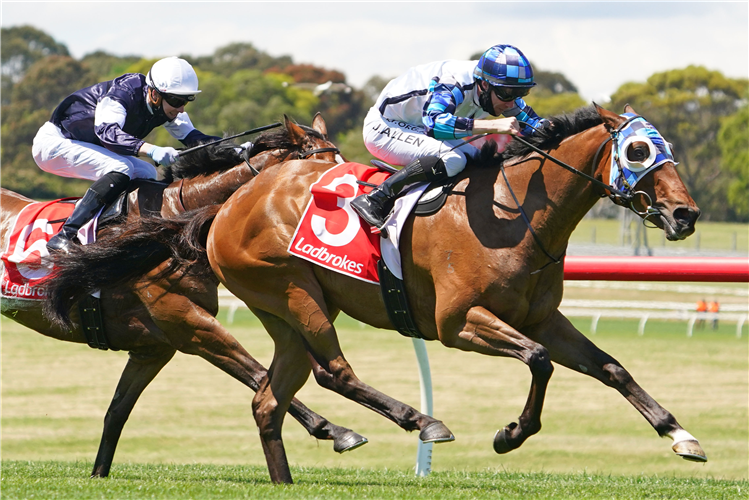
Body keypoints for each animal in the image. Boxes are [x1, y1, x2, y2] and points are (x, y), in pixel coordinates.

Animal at [2, 115, 366, 478]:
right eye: (318, 171)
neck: (174, 223)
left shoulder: (154, 348)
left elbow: (117, 412)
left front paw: (98, 473)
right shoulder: (190, 325)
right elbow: (258, 374)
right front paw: (336, 430)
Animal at [48, 102, 708, 484]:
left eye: (670, 148)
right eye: (639, 149)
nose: (685, 215)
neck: (517, 213)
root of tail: (226, 204)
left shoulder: (543, 317)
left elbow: (611, 367)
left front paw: (681, 436)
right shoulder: (457, 322)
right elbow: (540, 362)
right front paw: (510, 434)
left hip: (281, 311)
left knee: (269, 398)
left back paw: (290, 477)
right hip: (295, 293)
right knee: (332, 372)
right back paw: (423, 421)